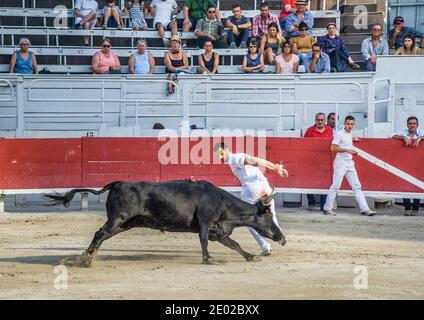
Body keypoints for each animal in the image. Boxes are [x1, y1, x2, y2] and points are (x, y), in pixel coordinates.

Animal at [44, 179, 286, 266]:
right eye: (268, 216)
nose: (282, 238)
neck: (222, 202)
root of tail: (117, 183)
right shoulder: (205, 222)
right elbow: (204, 241)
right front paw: (209, 260)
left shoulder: (218, 231)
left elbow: (234, 244)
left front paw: (251, 256)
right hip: (118, 219)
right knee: (99, 234)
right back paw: (86, 260)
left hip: (125, 223)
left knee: (102, 235)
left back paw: (84, 257)